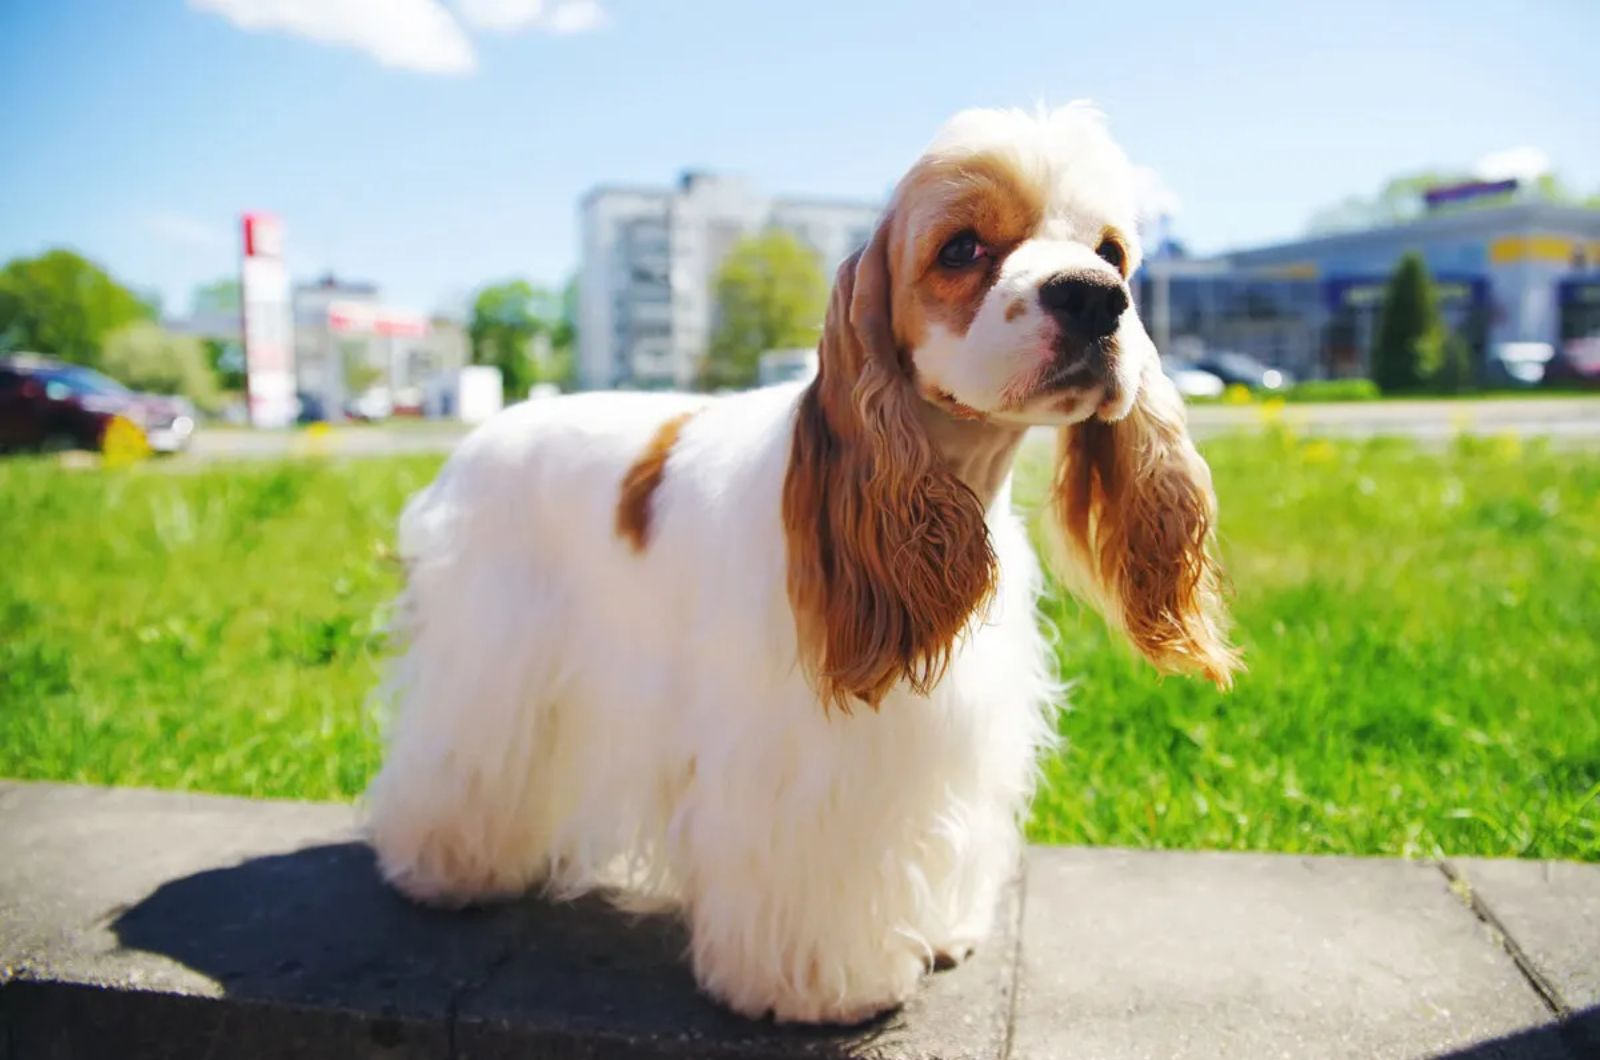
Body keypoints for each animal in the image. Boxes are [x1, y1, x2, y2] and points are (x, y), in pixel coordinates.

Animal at [366, 104, 1235, 1024]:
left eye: (1112, 253)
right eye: (961, 248)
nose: (1098, 298)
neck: (954, 485)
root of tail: (478, 438)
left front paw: (940, 929)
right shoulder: (802, 759)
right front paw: (823, 986)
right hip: (492, 659)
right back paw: (445, 865)